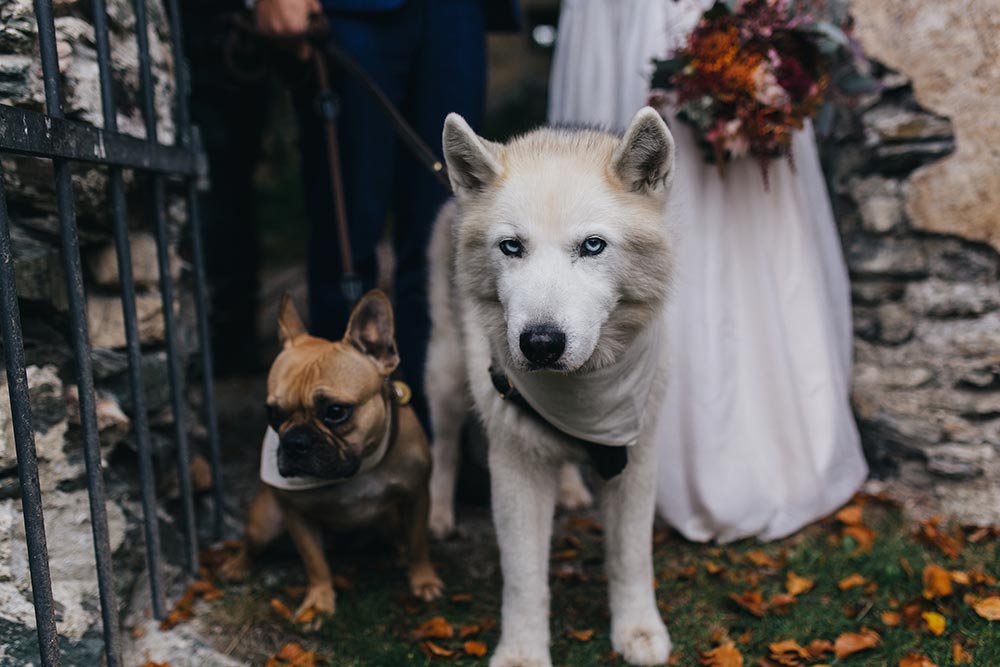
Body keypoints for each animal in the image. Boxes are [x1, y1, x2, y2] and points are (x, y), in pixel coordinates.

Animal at [426, 107, 676, 664]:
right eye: (511, 247)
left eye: (592, 246)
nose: (540, 344)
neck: (584, 392)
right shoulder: (515, 468)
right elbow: (524, 579)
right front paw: (522, 651)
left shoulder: (638, 457)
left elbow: (630, 557)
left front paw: (637, 630)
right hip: (447, 380)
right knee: (444, 446)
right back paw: (438, 513)